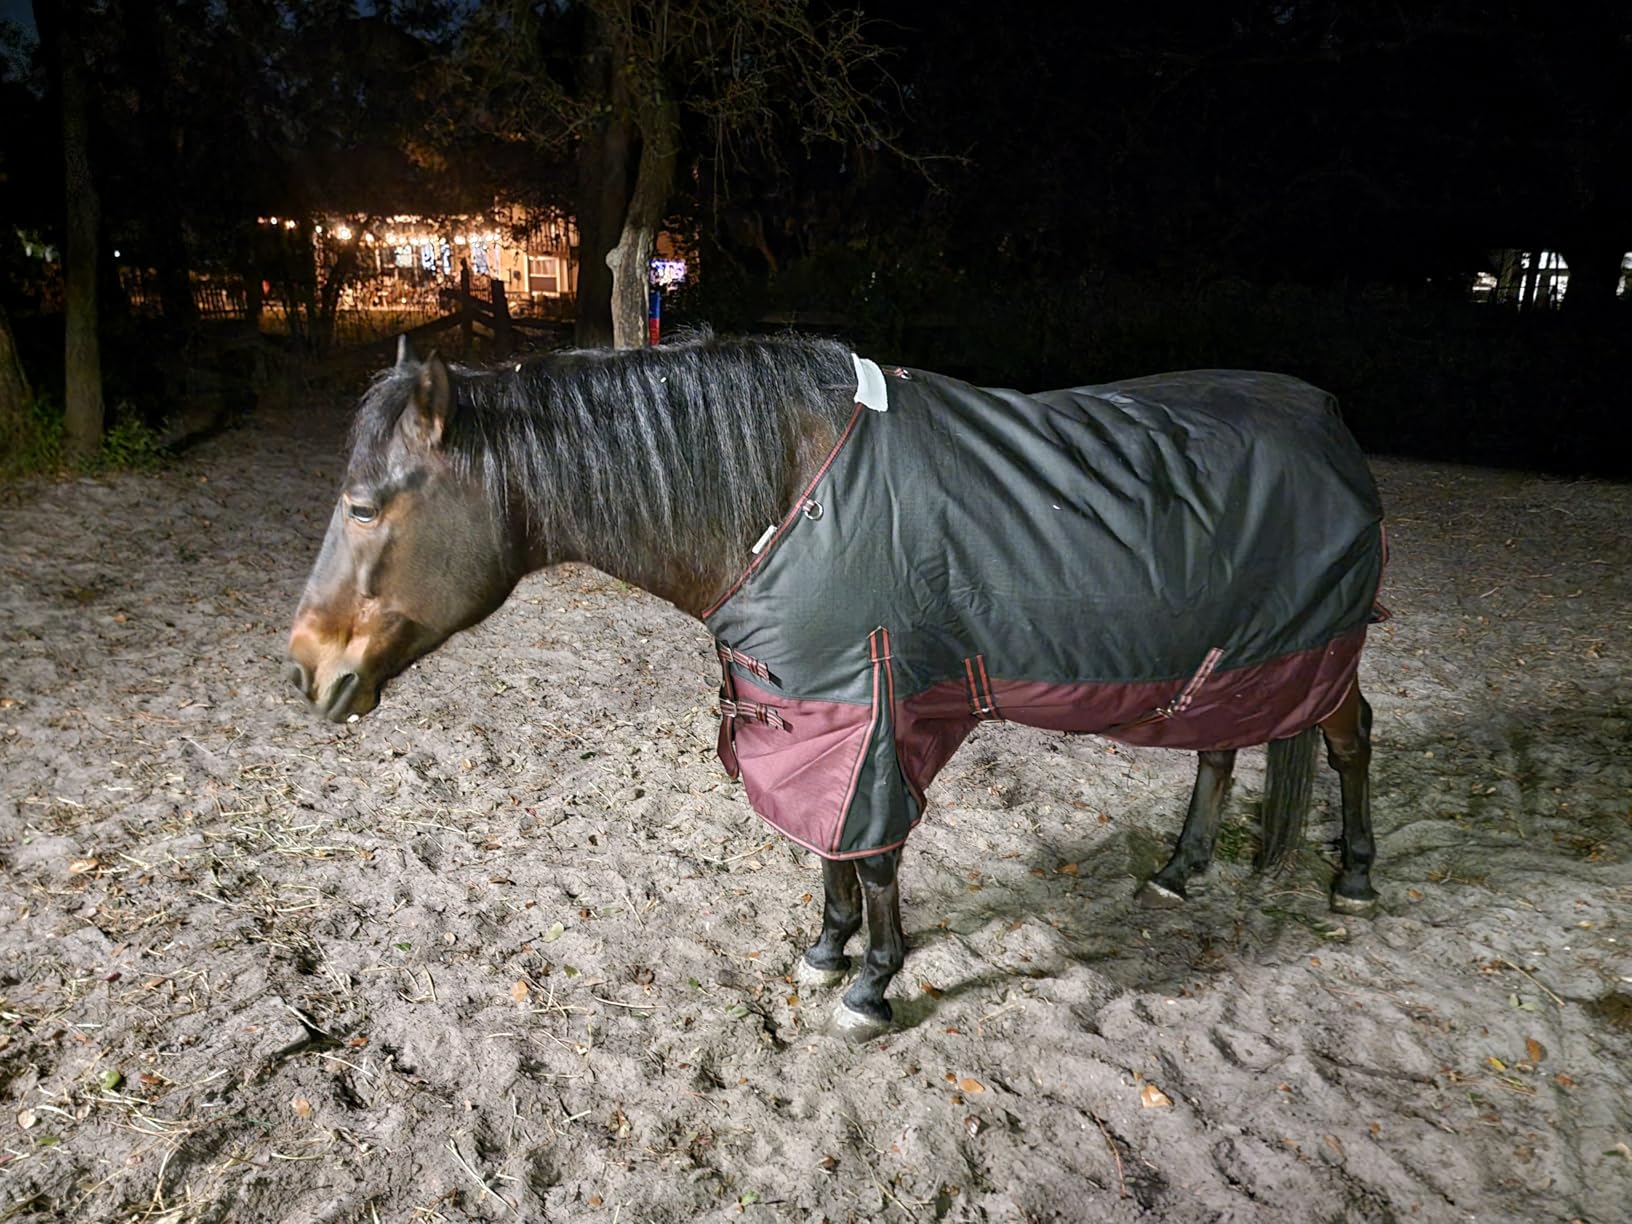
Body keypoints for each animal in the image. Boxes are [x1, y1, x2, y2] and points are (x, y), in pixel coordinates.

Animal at [286, 331, 1386, 1040]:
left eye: (364, 505)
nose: (309, 666)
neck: (792, 492)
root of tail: (1332, 418)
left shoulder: (877, 710)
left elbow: (878, 852)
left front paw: (872, 987)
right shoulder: (815, 713)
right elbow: (827, 841)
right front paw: (827, 948)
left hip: (1315, 653)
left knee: (1349, 738)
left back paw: (1356, 877)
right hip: (1230, 658)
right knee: (1220, 747)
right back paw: (1183, 866)